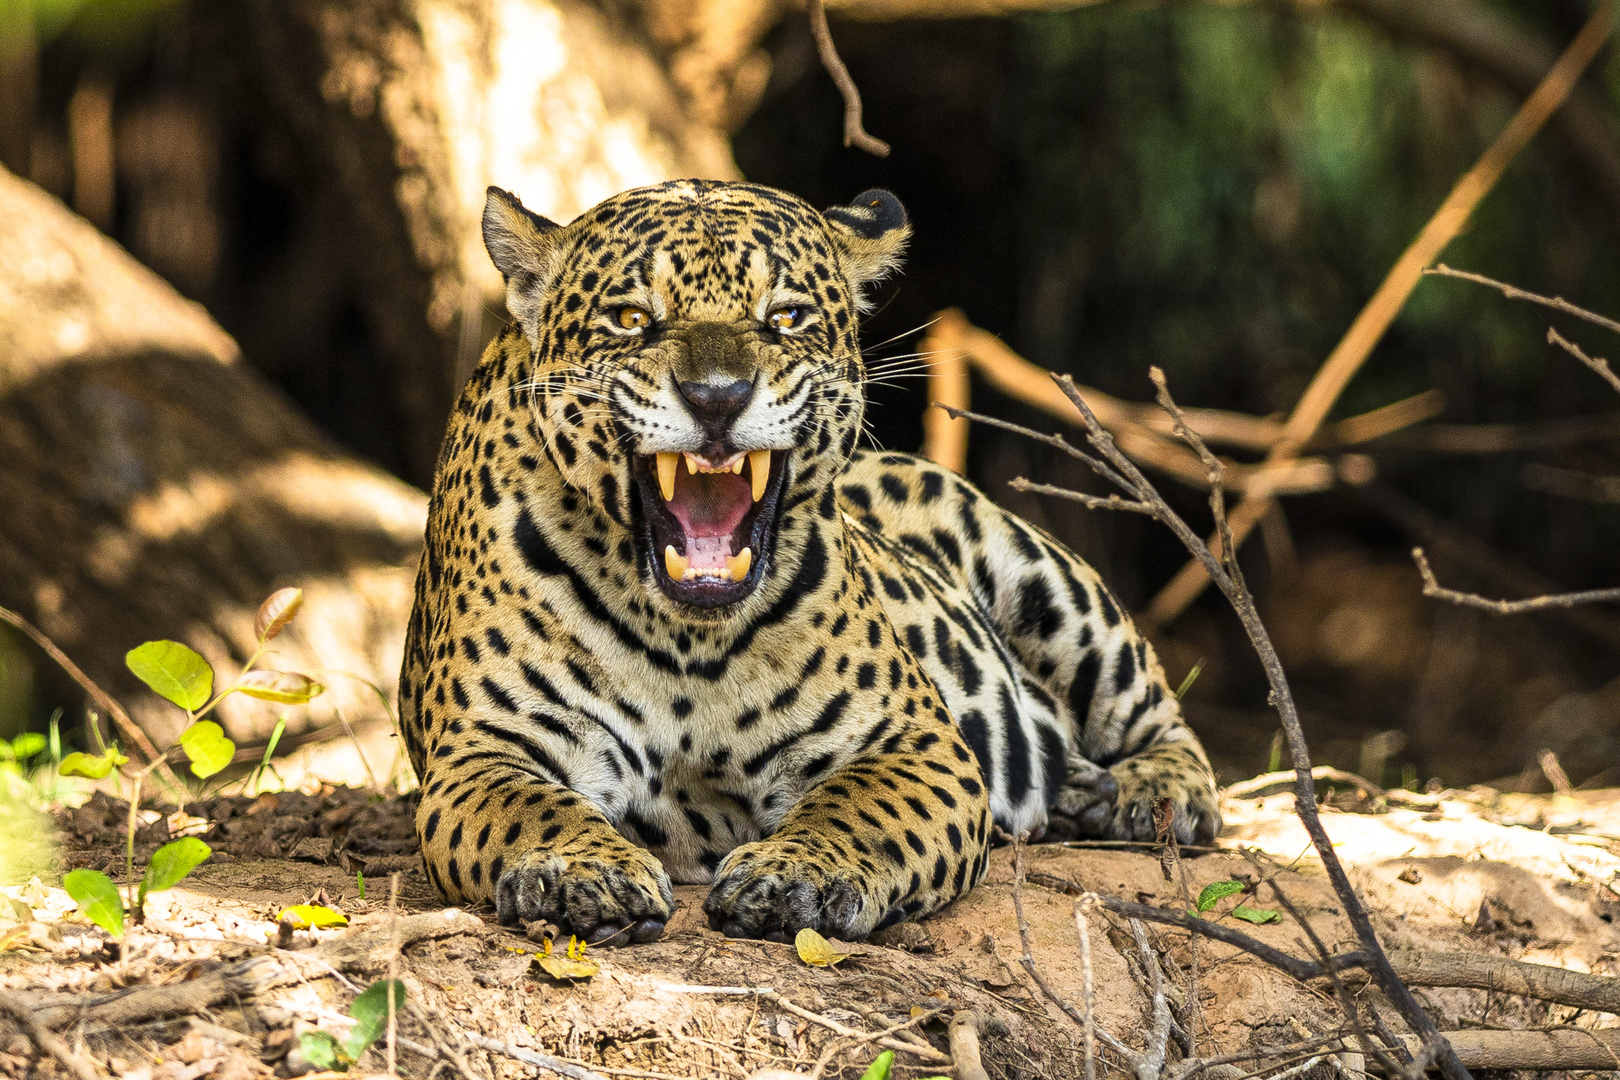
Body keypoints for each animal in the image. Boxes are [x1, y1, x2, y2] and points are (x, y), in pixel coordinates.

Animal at [398, 179, 1221, 946]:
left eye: (785, 318)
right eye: (632, 319)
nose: (717, 398)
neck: (686, 641)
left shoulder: (914, 739)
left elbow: (861, 810)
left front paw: (793, 873)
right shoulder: (482, 748)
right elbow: (533, 808)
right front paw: (584, 869)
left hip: (1035, 572)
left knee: (1164, 720)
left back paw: (1139, 796)